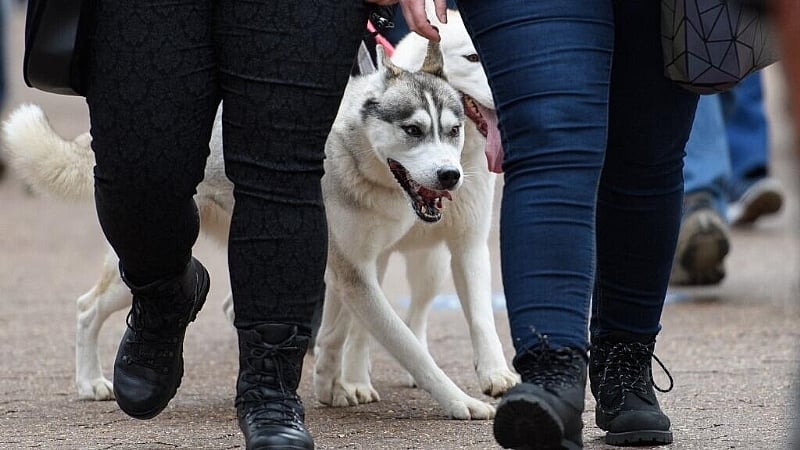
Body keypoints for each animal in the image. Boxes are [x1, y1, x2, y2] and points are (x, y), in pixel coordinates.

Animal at [0, 9, 516, 418]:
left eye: (452, 131)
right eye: (413, 130)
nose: (451, 175)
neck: (354, 157)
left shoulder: (352, 268)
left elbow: (339, 331)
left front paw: (330, 385)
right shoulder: (355, 272)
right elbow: (407, 348)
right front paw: (459, 401)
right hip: (145, 248)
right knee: (87, 306)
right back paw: (90, 382)